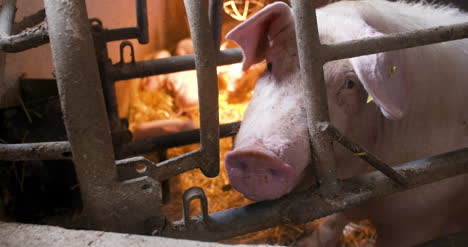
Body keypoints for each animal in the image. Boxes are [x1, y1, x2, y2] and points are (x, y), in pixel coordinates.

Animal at [225, 0, 468, 246]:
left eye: (350, 84)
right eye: (270, 65)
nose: (256, 155)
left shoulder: (418, 218)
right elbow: (333, 219)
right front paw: (308, 243)